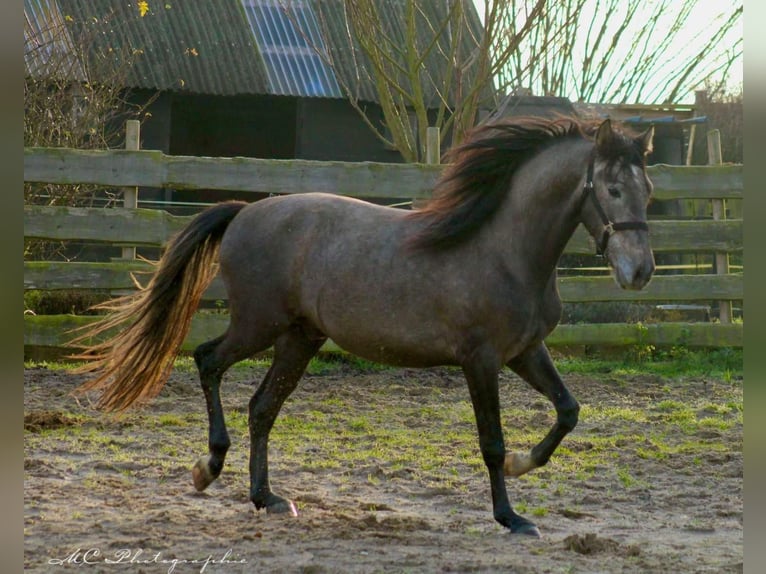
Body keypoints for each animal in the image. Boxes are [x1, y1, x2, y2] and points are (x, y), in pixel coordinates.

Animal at [75, 116, 656, 540]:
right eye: (611, 188)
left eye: (647, 187)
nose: (639, 272)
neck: (506, 252)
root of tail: (244, 212)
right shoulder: (481, 360)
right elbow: (490, 440)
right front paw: (511, 517)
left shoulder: (525, 351)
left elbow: (568, 411)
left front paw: (522, 464)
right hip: (258, 325)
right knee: (208, 361)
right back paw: (208, 467)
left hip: (299, 337)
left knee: (262, 407)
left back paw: (268, 498)